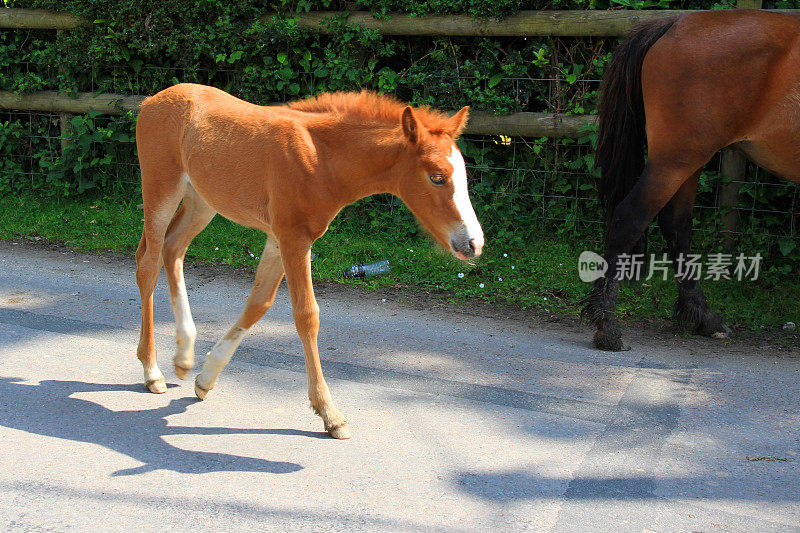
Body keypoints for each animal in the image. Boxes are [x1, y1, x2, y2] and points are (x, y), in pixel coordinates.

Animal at [134, 84, 484, 436]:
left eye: (464, 175)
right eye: (437, 177)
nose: (474, 243)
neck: (322, 159)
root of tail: (153, 100)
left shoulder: (278, 238)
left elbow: (258, 303)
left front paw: (205, 378)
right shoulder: (294, 238)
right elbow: (306, 315)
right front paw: (329, 412)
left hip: (201, 200)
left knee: (173, 249)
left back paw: (183, 357)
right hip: (161, 188)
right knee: (148, 265)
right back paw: (152, 371)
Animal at [580, 10, 800, 352]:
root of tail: (674, 23)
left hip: (688, 163)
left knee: (677, 227)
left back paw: (703, 317)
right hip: (675, 160)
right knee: (630, 217)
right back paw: (608, 326)